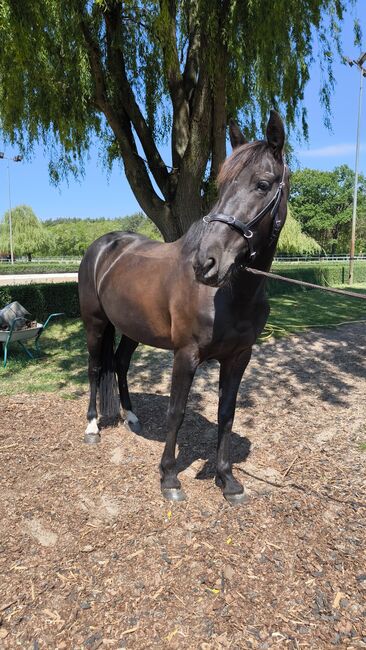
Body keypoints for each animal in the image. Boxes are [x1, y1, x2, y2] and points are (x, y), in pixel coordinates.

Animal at [78, 110, 288, 502]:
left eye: (263, 184)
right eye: (222, 186)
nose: (206, 263)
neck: (232, 294)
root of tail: (104, 245)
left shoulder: (239, 356)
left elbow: (226, 413)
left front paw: (227, 479)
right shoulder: (186, 355)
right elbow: (176, 412)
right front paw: (169, 477)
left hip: (132, 328)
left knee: (120, 363)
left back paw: (131, 417)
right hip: (94, 323)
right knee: (96, 368)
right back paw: (92, 427)